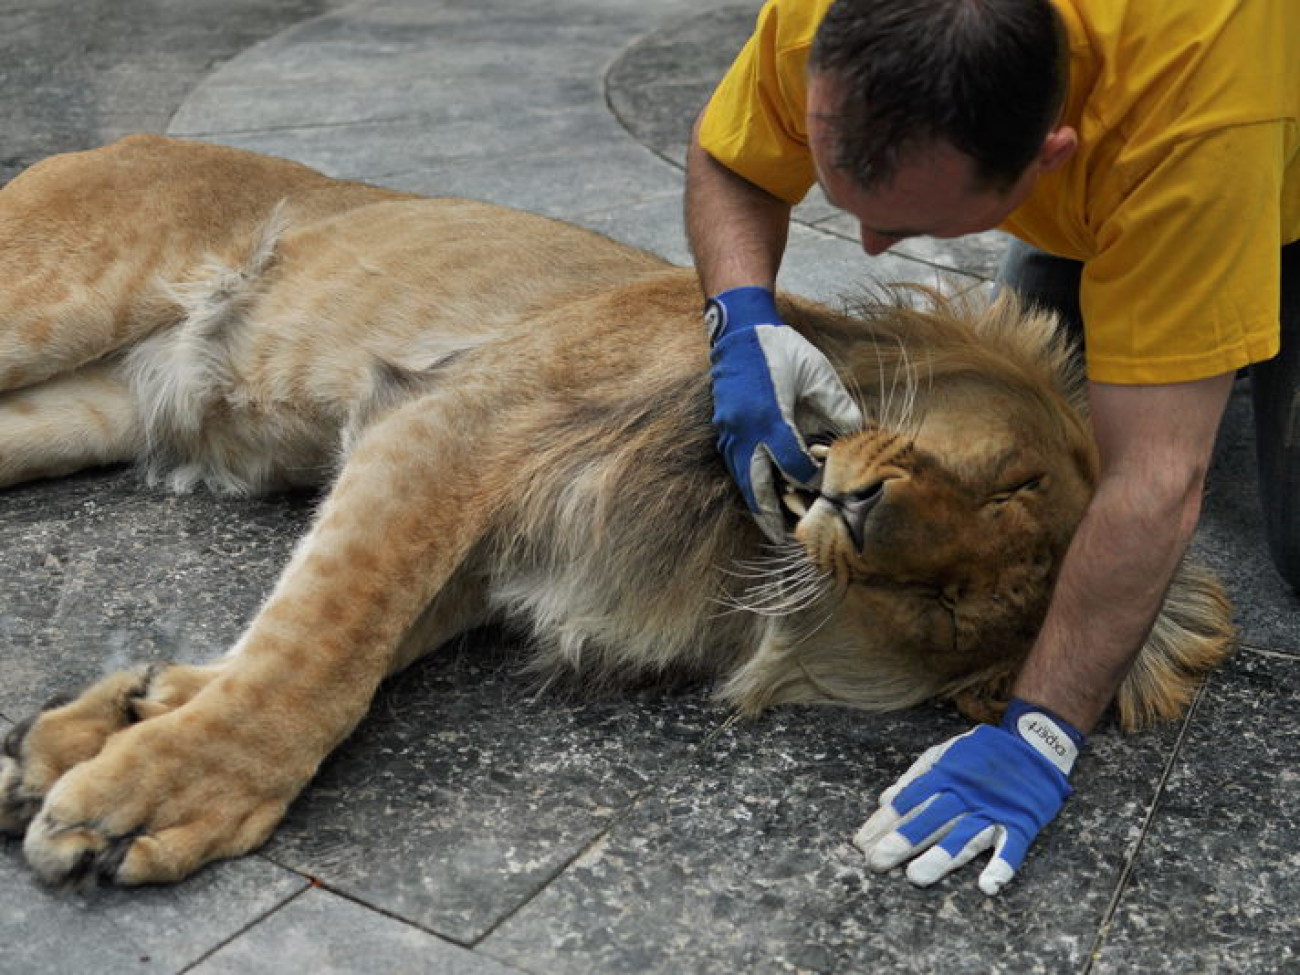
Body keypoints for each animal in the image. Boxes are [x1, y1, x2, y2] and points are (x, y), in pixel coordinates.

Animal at [0, 137, 1227, 894]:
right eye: (1012, 479)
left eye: (944, 605)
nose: (862, 510)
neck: (729, 536)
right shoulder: (454, 424)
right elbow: (326, 653)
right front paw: (155, 793)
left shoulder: (482, 550)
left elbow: (341, 636)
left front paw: (115, 719)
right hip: (48, 304)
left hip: (77, 413)